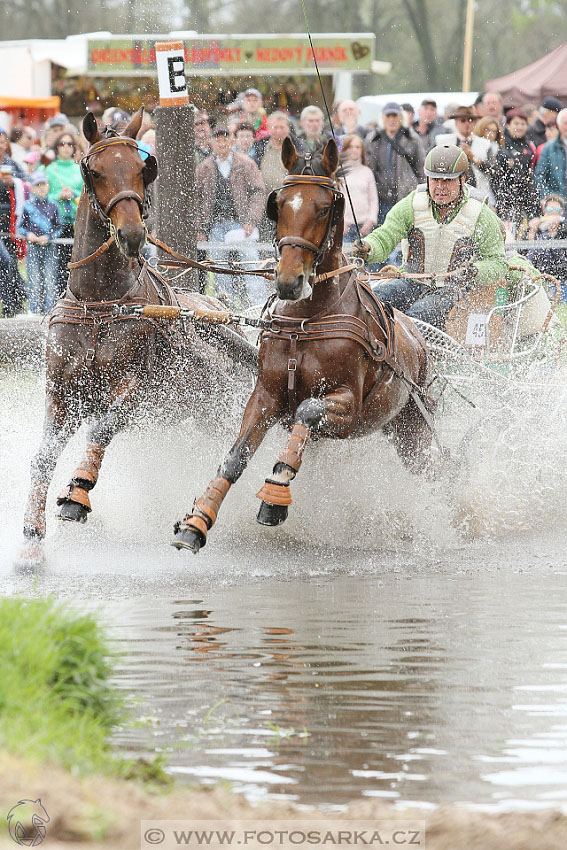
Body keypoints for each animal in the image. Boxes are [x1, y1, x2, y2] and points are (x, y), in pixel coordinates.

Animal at [17, 111, 236, 564]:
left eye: (141, 167)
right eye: (95, 170)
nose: (133, 234)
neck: (100, 304)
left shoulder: (134, 389)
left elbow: (101, 430)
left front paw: (76, 495)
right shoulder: (61, 390)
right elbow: (43, 456)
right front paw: (31, 534)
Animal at [171, 136, 432, 552]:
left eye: (325, 207)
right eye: (278, 204)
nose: (288, 281)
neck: (308, 320)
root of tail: (418, 339)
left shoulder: (347, 410)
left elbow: (307, 411)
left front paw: (275, 494)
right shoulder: (265, 396)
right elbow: (236, 457)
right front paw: (197, 520)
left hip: (415, 431)